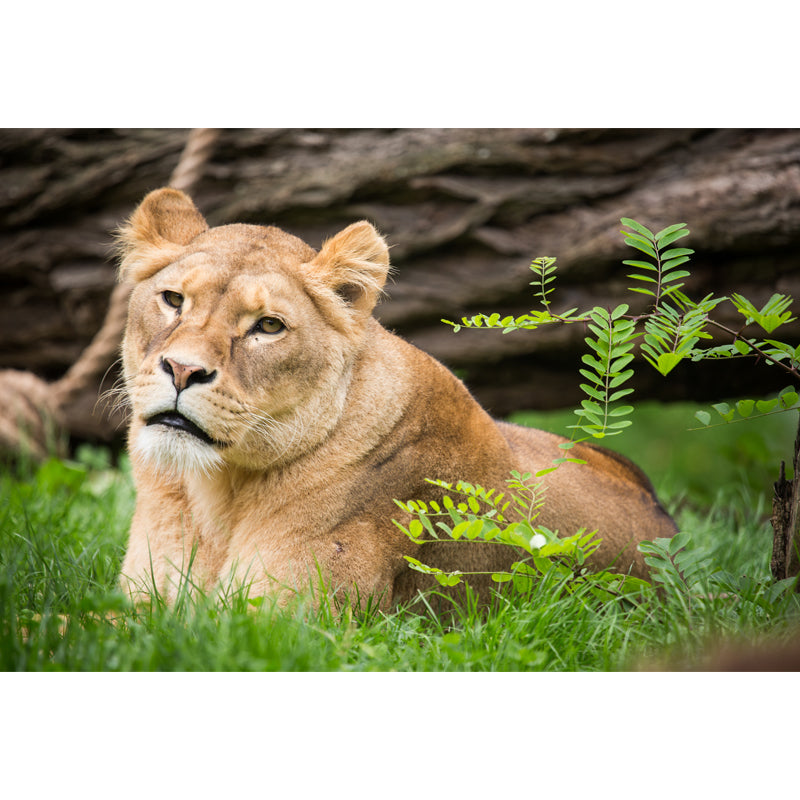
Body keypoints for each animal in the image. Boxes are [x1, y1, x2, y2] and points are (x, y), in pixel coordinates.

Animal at [117, 187, 677, 608]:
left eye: (269, 327)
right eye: (173, 300)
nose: (183, 370)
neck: (217, 493)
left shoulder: (288, 623)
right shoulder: (142, 604)